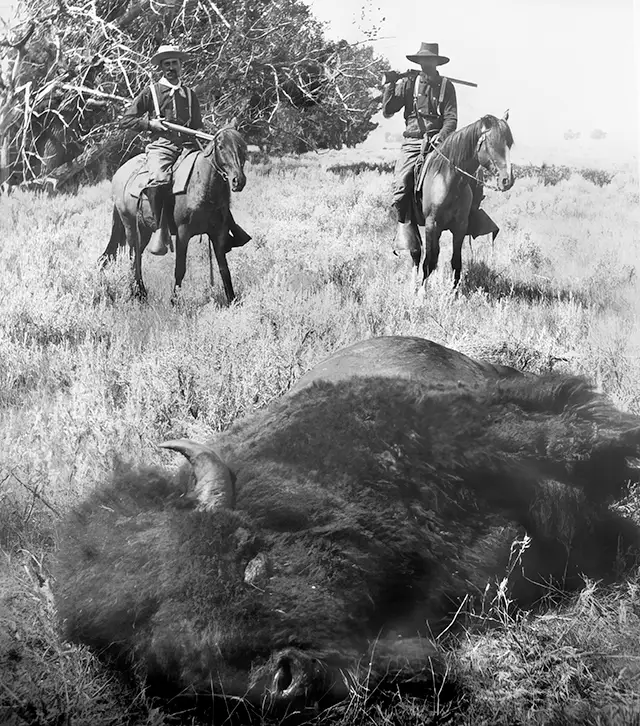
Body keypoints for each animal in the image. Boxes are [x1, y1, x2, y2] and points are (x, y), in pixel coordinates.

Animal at [100, 126, 248, 302]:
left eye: (242, 147)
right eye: (221, 147)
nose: (238, 180)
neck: (202, 185)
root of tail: (118, 173)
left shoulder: (218, 232)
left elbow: (224, 268)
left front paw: (232, 300)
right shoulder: (183, 233)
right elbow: (180, 269)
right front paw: (174, 301)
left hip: (144, 230)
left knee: (137, 258)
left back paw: (140, 293)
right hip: (130, 227)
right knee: (132, 257)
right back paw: (137, 293)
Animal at [408, 111, 516, 292]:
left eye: (509, 144)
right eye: (492, 143)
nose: (507, 180)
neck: (449, 180)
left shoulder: (460, 227)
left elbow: (456, 262)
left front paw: (454, 294)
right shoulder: (431, 224)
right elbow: (428, 262)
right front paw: (422, 293)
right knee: (417, 254)